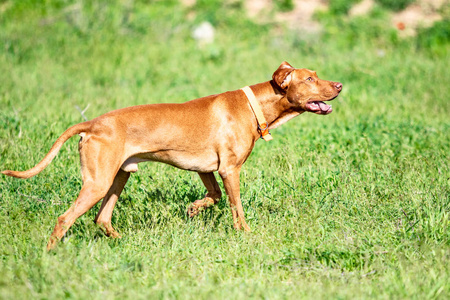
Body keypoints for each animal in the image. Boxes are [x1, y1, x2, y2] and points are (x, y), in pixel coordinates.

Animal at [1, 62, 342, 250]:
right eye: (309, 79)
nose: (339, 85)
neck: (254, 105)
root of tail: (93, 123)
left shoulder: (206, 169)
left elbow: (214, 196)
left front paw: (193, 209)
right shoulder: (230, 170)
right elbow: (237, 209)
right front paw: (246, 235)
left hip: (117, 178)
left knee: (102, 217)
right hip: (98, 182)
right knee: (64, 219)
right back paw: (50, 256)